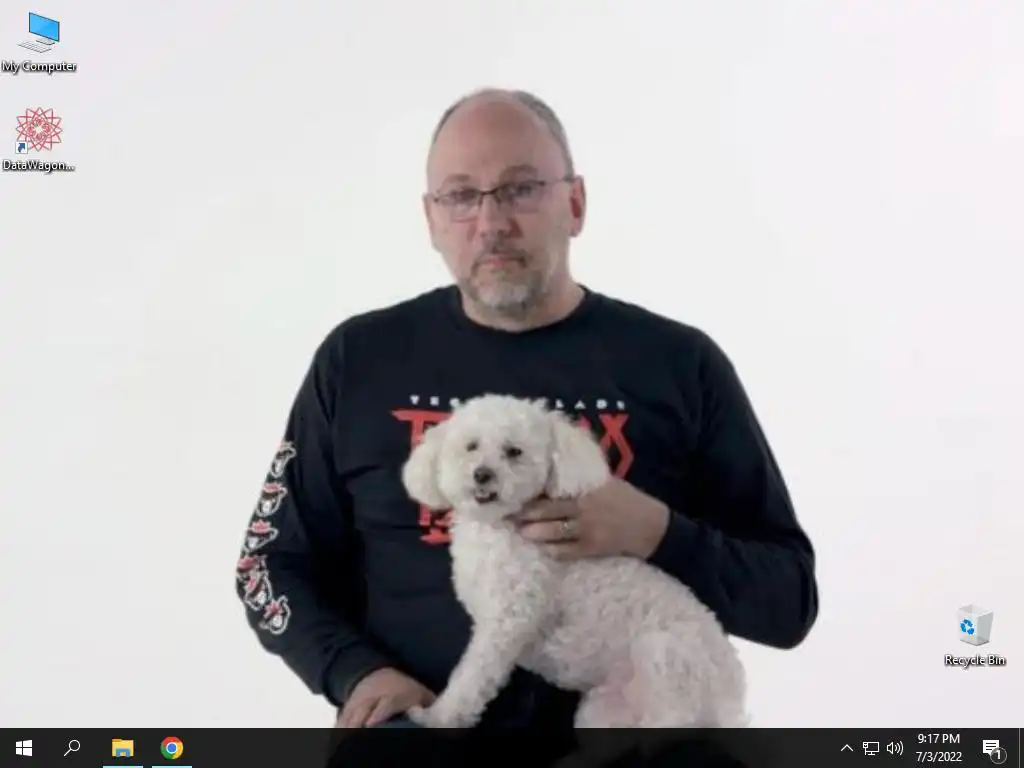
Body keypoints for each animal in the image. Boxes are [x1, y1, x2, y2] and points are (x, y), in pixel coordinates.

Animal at [401, 394, 747, 733]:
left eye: (513, 451)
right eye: (471, 446)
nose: (482, 474)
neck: (500, 527)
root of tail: (731, 702)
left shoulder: (506, 622)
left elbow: (470, 679)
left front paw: (438, 717)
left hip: (667, 656)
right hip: (601, 712)